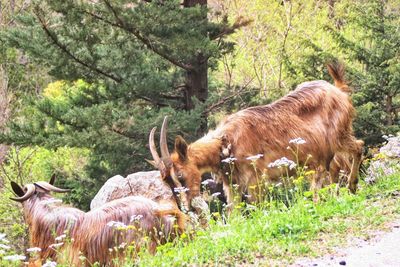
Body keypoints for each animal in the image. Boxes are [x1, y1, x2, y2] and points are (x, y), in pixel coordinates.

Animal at [149, 63, 362, 209]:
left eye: (180, 175)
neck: (225, 142)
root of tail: (339, 90)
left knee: (358, 146)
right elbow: (234, 215)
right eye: (166, 181)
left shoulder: (255, 180)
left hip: (339, 136)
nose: (187, 207)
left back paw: (352, 186)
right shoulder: (232, 186)